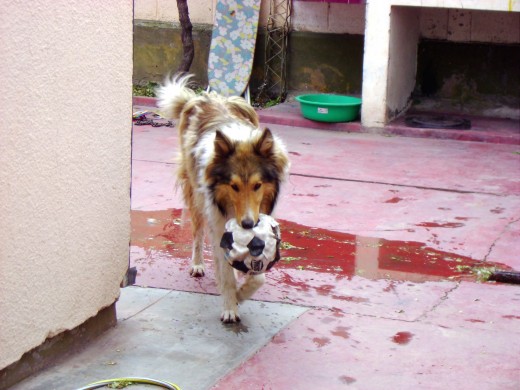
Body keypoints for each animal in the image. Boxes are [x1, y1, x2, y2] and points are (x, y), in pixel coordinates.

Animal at [156, 74, 290, 322]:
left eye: (258, 185)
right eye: (233, 186)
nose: (247, 224)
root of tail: (205, 97)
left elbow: (258, 274)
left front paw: (242, 292)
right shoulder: (218, 224)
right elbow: (225, 272)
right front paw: (231, 305)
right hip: (196, 198)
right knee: (197, 234)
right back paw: (197, 265)